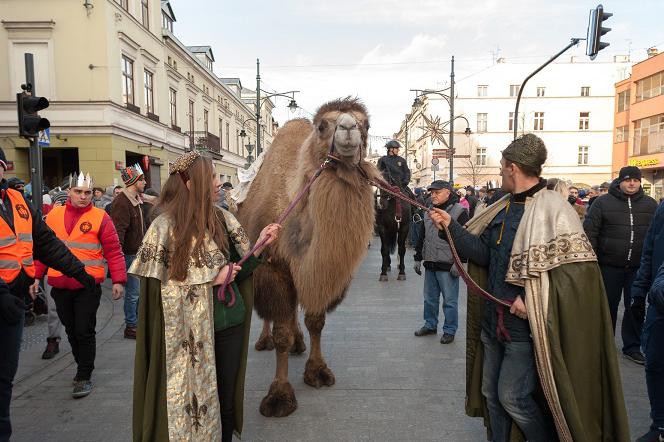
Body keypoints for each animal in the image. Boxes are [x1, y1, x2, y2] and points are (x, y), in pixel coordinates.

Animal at [237, 97, 378, 418]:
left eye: (366, 124)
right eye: (323, 125)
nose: (349, 128)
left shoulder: (319, 272)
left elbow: (315, 320)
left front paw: (317, 371)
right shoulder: (272, 267)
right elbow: (281, 334)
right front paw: (279, 396)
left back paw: (299, 343)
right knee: (272, 315)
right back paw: (264, 341)